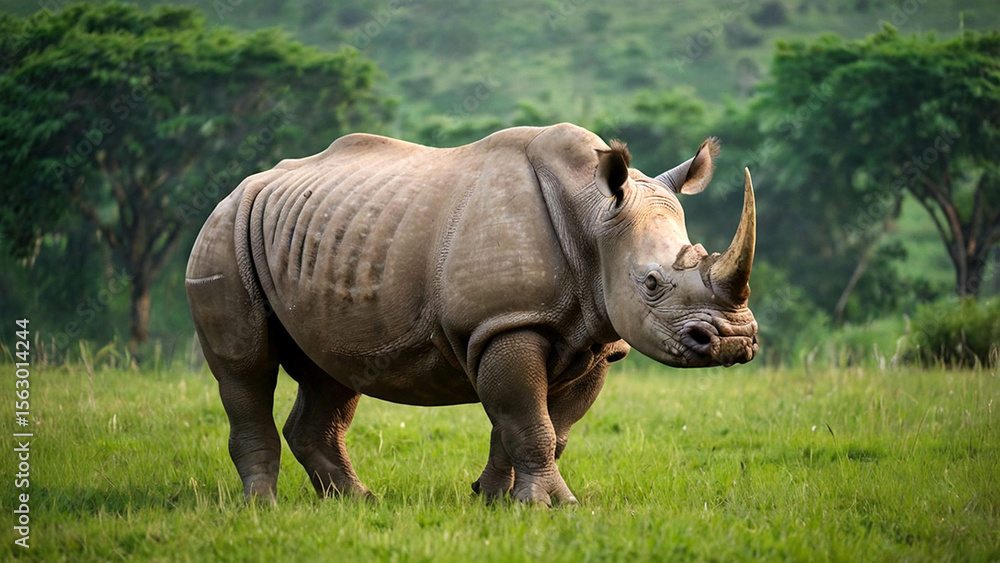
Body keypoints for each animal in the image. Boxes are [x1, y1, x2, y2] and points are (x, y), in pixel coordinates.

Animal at [186, 123, 758, 506]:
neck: (595, 216)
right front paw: (553, 506)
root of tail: (237, 190)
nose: (734, 340)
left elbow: (534, 424)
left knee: (332, 372)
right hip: (224, 231)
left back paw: (357, 502)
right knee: (246, 370)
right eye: (652, 283)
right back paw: (262, 507)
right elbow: (530, 420)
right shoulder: (506, 322)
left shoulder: (592, 335)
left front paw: (495, 500)